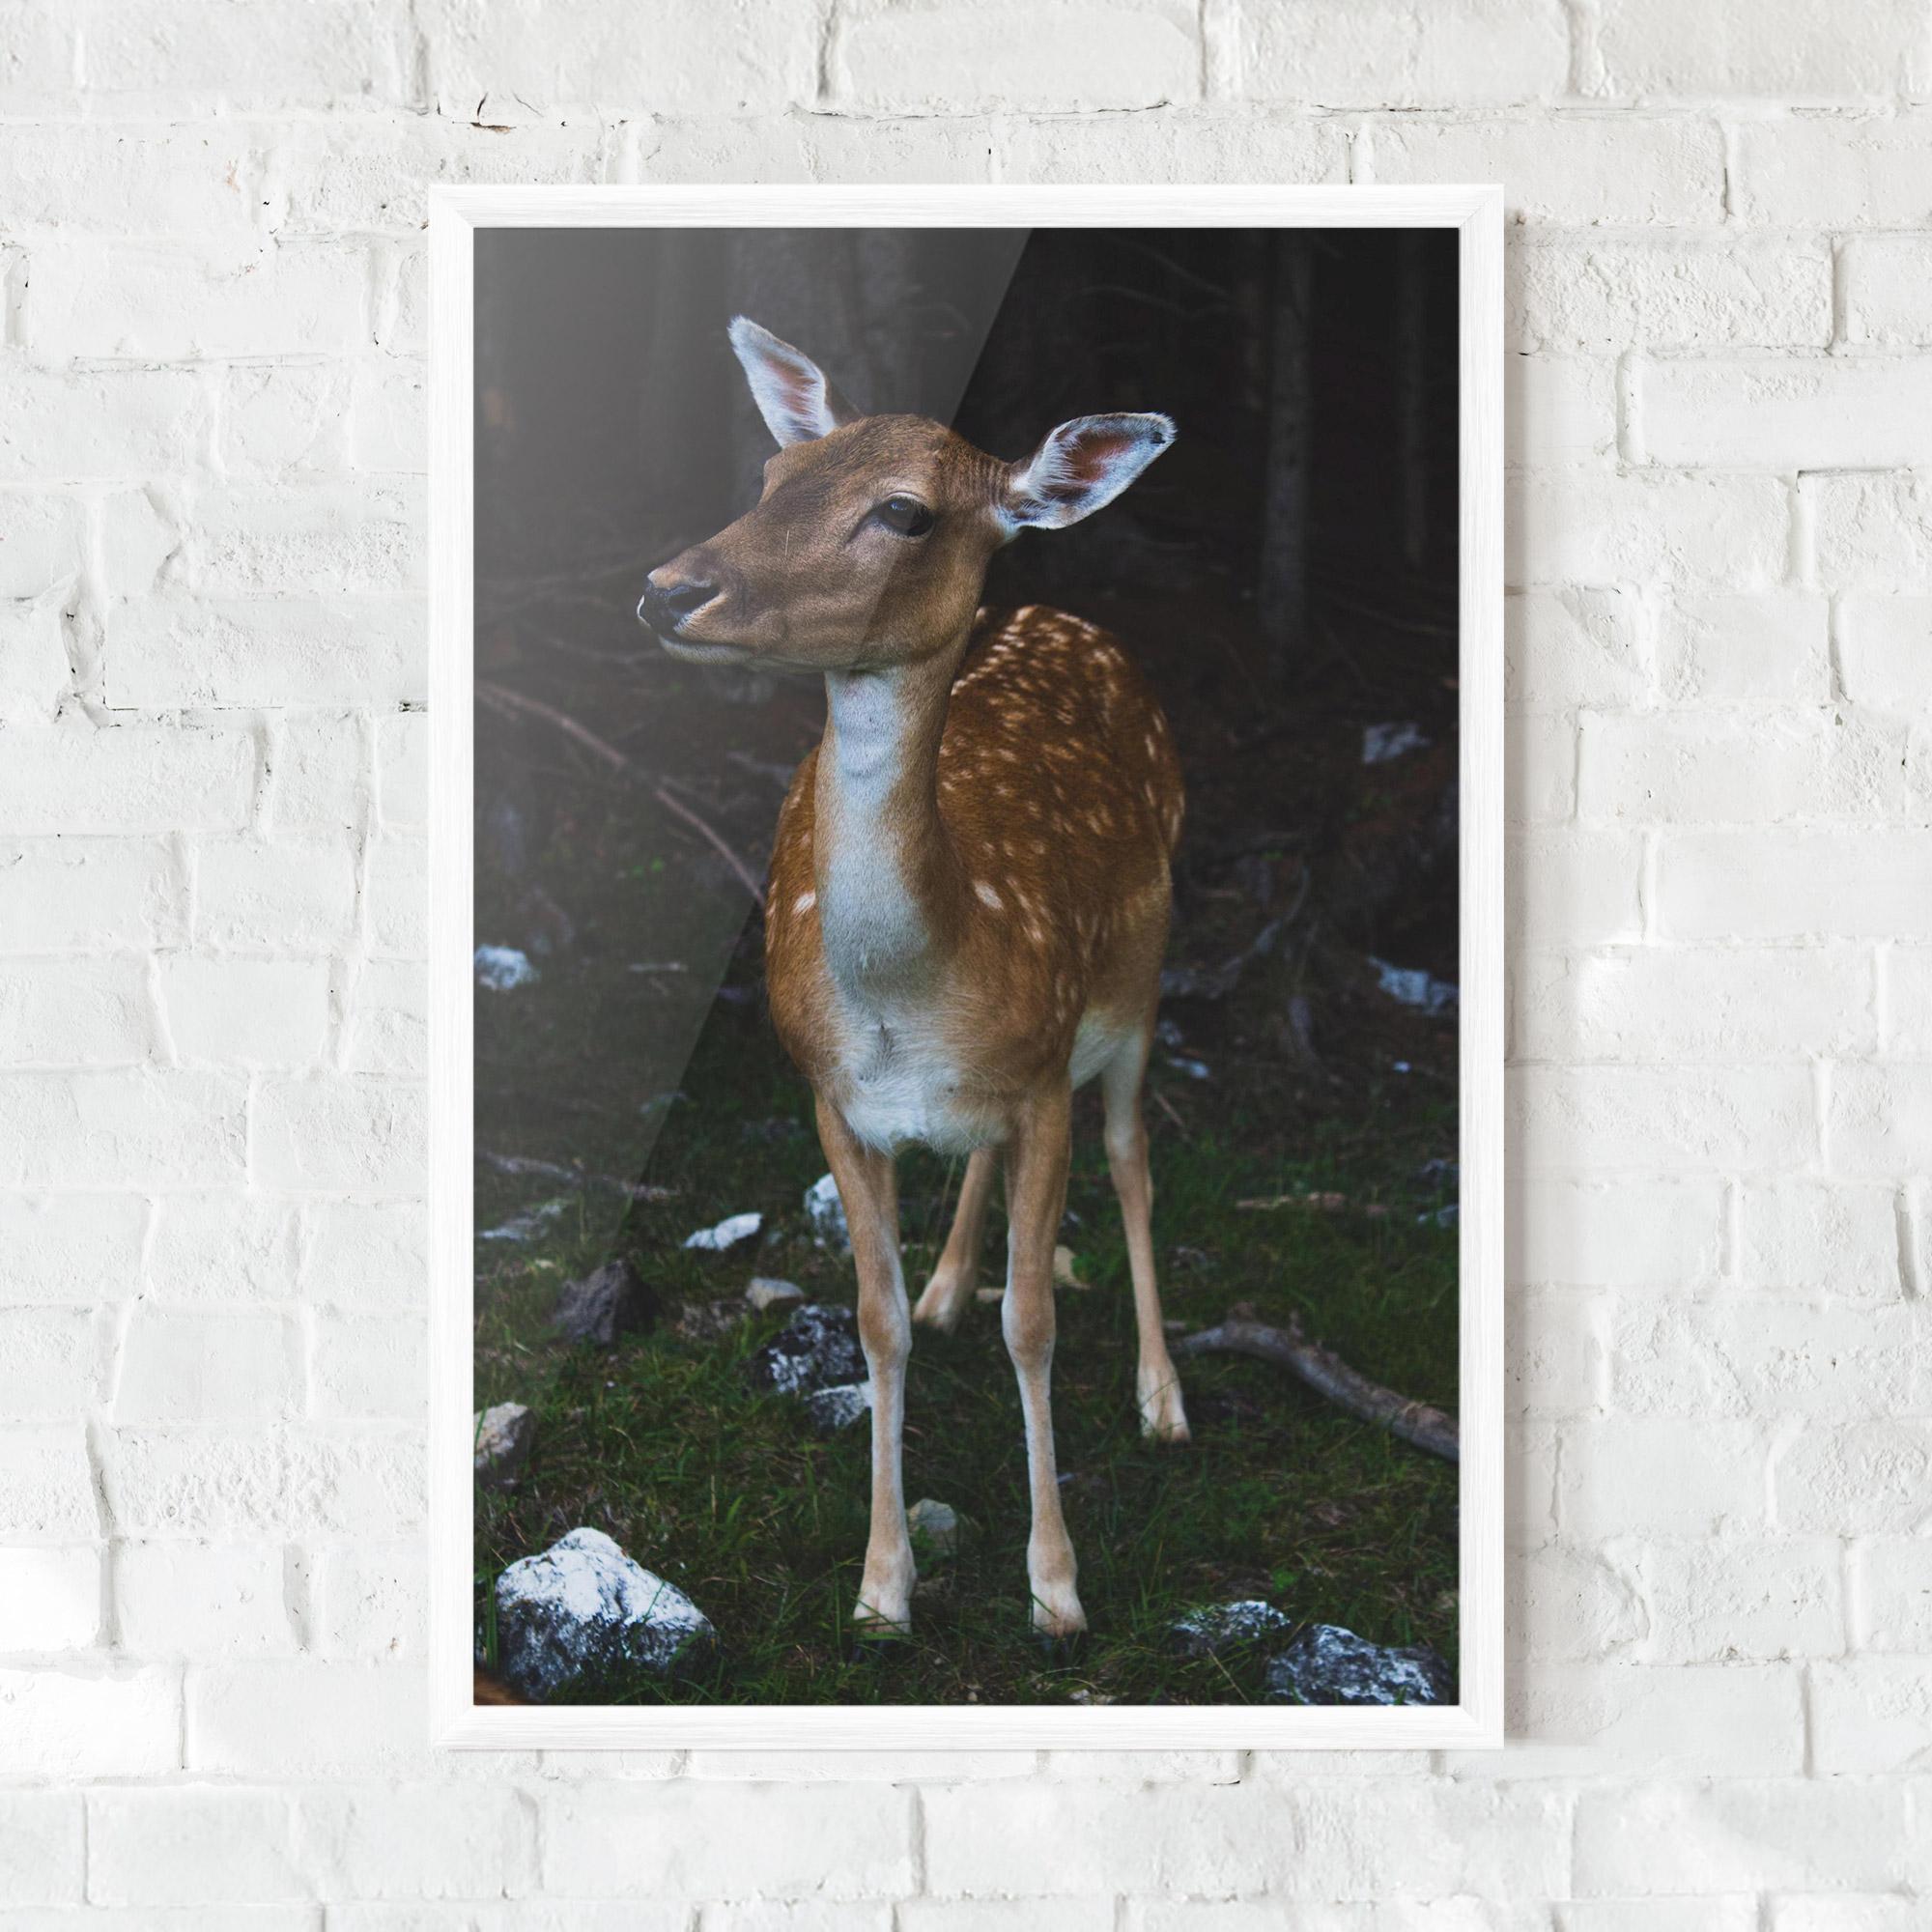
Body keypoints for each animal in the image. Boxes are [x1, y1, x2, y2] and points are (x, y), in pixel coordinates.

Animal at [636, 317, 1190, 1641]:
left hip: (1139, 980)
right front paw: (882, 1584)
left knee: (1132, 1154)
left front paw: (1055, 1586)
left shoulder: (1043, 1074)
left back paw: (1163, 1399)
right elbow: (872, 1320)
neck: (914, 988)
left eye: (903, 512)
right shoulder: (831, 1095)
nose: (668, 587)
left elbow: (1033, 1319)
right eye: (775, 475)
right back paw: (948, 1284)